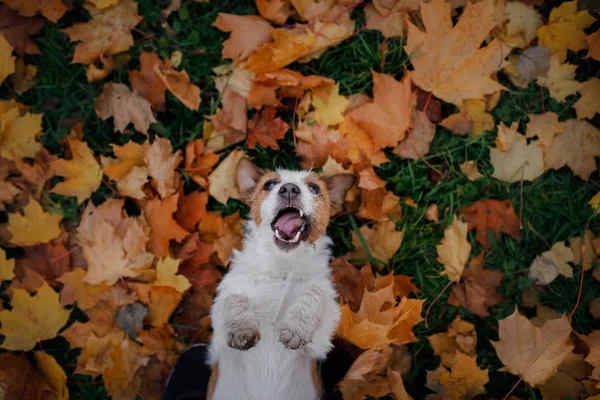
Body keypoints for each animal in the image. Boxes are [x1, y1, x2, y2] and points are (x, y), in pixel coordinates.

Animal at [207, 159, 356, 400]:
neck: (281, 266)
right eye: (269, 184)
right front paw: (241, 327)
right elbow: (234, 298)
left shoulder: (321, 338)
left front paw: (296, 327)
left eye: (314, 188)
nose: (289, 189)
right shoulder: (220, 328)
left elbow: (314, 294)